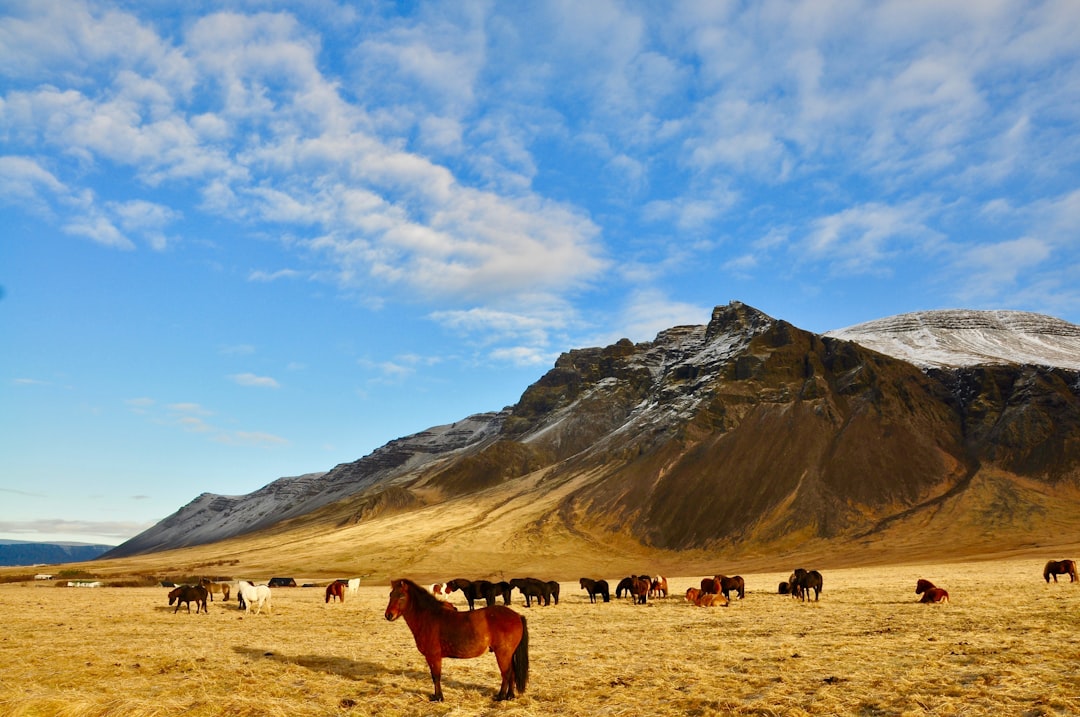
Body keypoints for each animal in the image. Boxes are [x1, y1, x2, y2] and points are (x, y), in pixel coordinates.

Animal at [386, 578, 529, 699]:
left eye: (401, 596)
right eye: (390, 595)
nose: (388, 615)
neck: (428, 617)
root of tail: (517, 616)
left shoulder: (433, 656)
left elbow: (436, 676)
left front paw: (438, 697)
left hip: (502, 653)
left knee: (506, 673)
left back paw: (500, 697)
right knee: (512, 673)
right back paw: (510, 696)